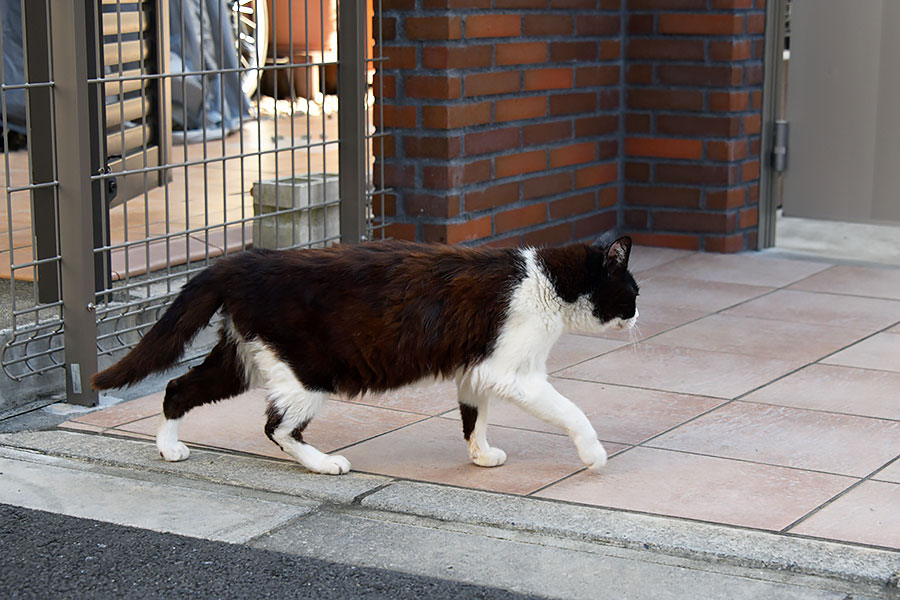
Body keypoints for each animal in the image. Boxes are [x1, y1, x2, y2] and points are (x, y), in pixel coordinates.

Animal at [93, 237, 640, 476]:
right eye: (632, 291)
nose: (640, 315)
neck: (547, 280)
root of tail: (243, 261)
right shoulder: (513, 373)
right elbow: (571, 411)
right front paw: (593, 455)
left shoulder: (475, 370)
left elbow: (474, 416)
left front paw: (481, 454)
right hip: (309, 371)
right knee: (277, 427)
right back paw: (323, 464)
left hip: (242, 357)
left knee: (177, 387)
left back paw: (168, 448)